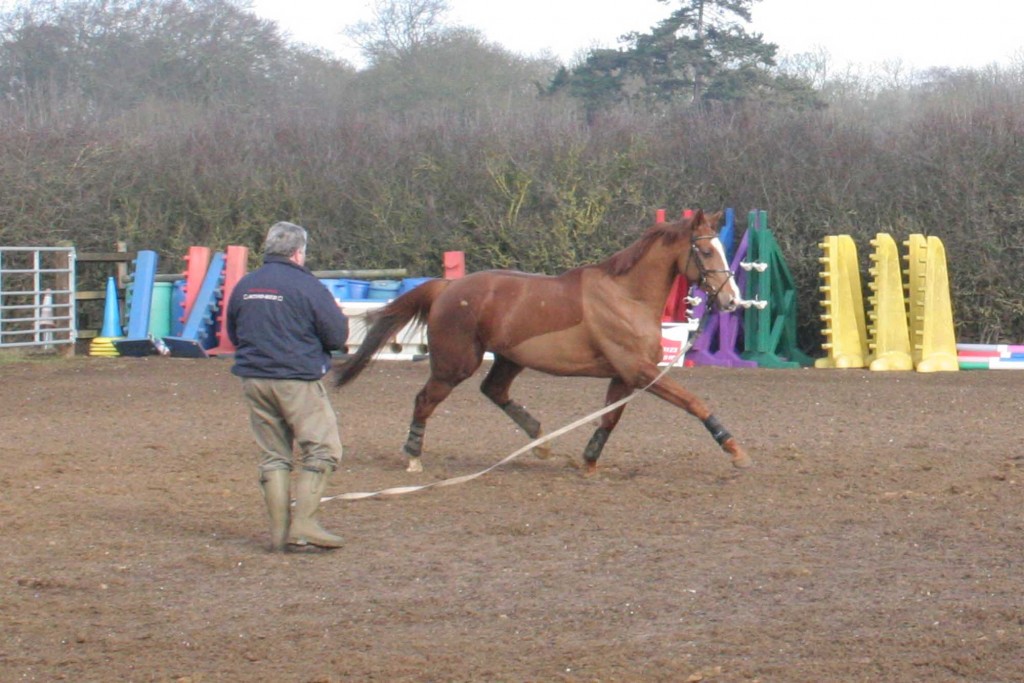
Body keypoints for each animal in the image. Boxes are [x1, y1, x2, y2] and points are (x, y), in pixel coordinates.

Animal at [335, 210, 753, 473]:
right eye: (705, 250)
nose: (732, 300)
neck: (627, 296)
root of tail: (447, 287)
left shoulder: (624, 375)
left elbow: (610, 418)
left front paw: (588, 461)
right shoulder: (639, 370)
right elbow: (693, 402)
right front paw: (734, 449)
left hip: (509, 358)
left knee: (494, 390)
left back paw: (540, 440)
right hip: (456, 364)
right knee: (425, 400)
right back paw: (413, 455)